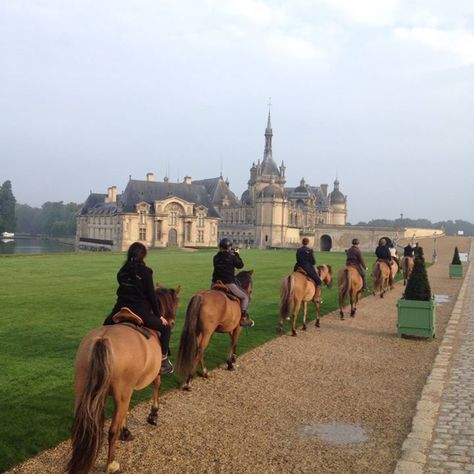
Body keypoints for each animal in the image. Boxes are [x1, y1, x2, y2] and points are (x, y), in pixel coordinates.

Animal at [65, 286, 179, 474]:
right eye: (176, 304)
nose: (171, 323)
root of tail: (103, 339)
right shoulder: (152, 375)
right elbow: (157, 386)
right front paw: (153, 414)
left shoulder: (126, 391)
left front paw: (126, 431)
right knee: (112, 431)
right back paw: (111, 464)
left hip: (82, 391)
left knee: (79, 428)